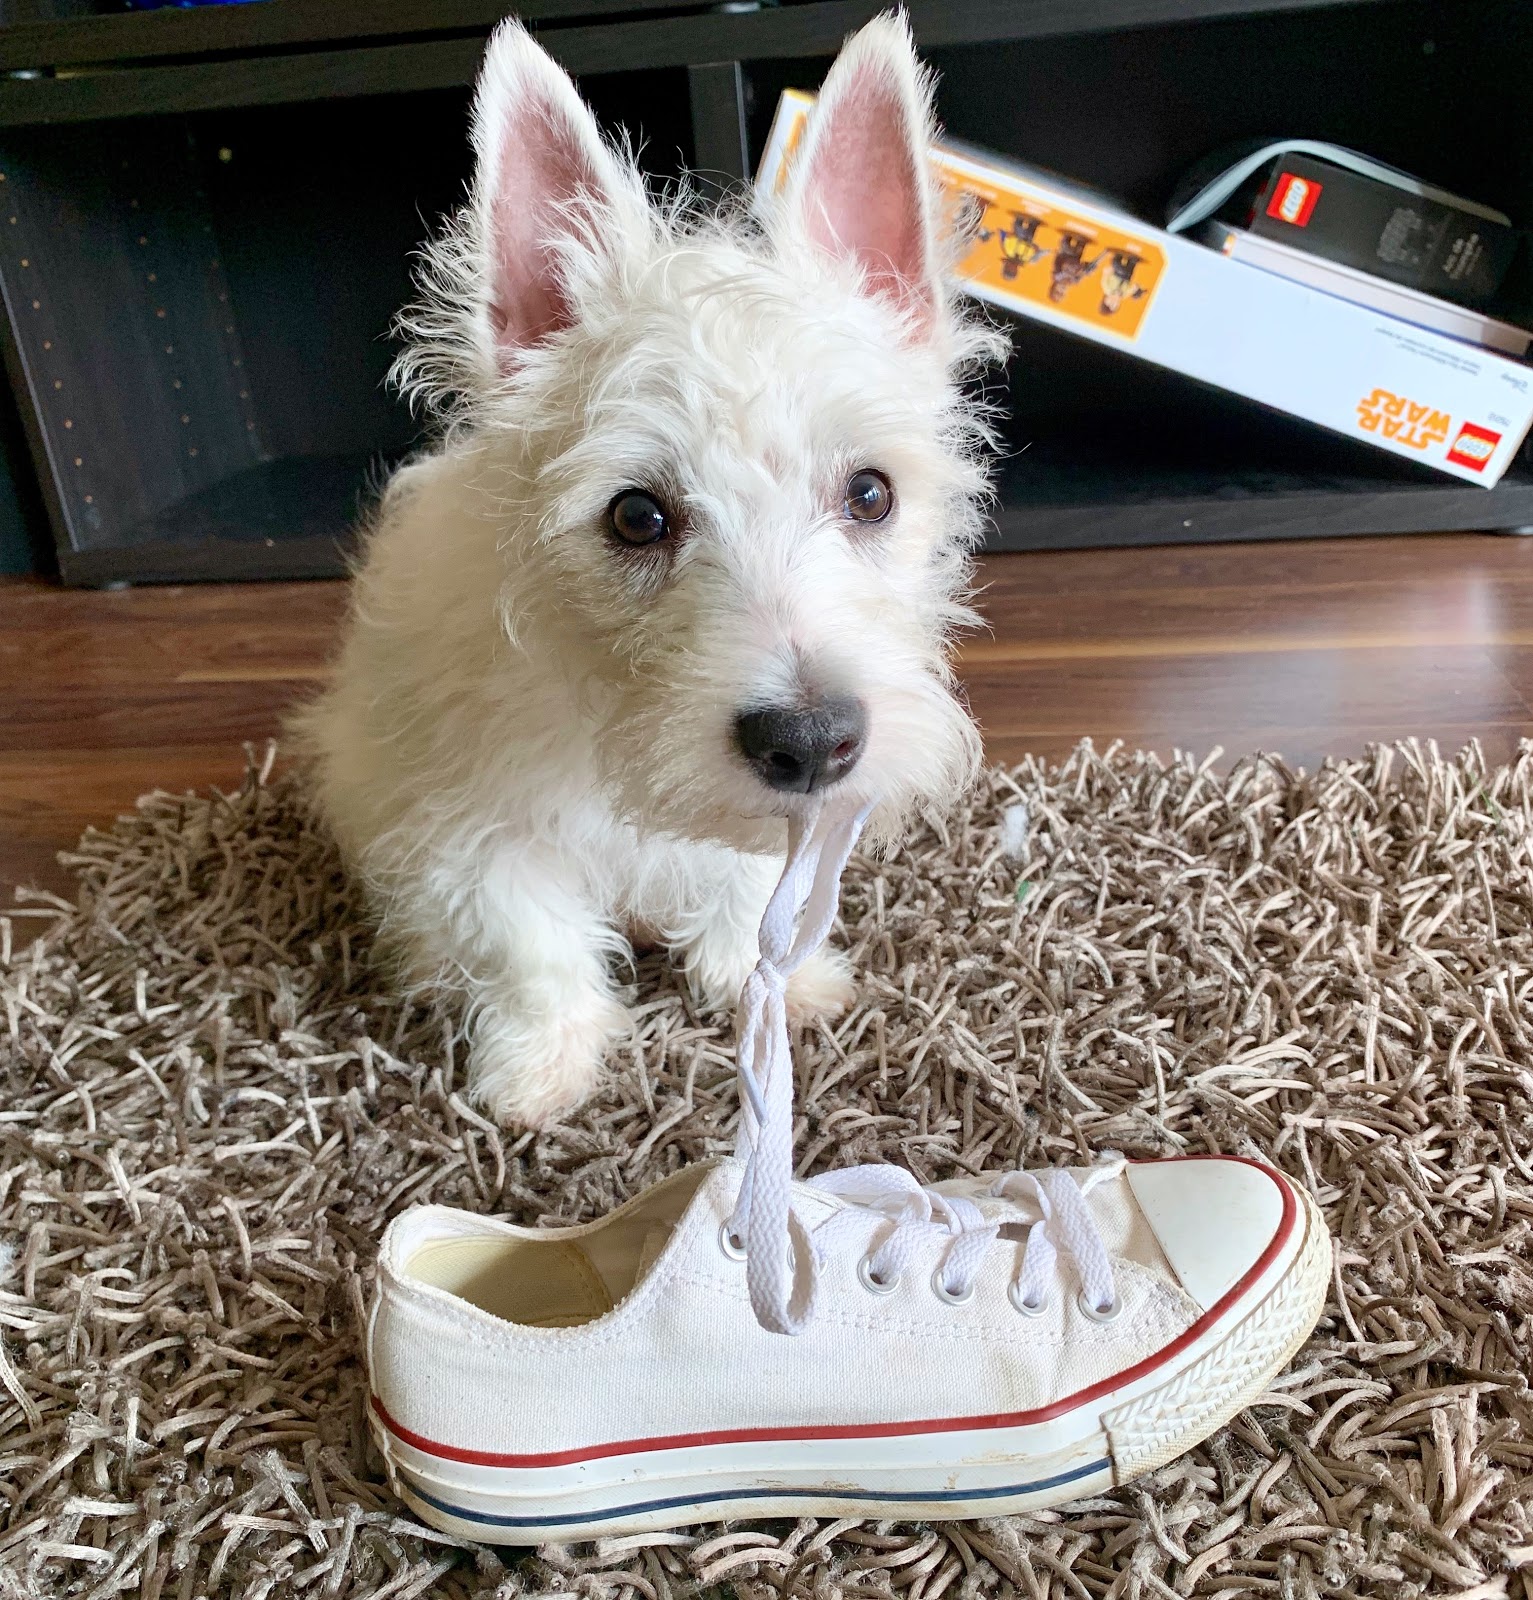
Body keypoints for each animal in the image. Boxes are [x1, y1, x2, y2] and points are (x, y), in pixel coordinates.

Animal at [299, 9, 1011, 1126]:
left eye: (870, 493)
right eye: (636, 515)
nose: (810, 742)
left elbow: (735, 894)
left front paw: (769, 985)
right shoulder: (473, 830)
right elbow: (530, 947)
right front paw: (541, 1069)